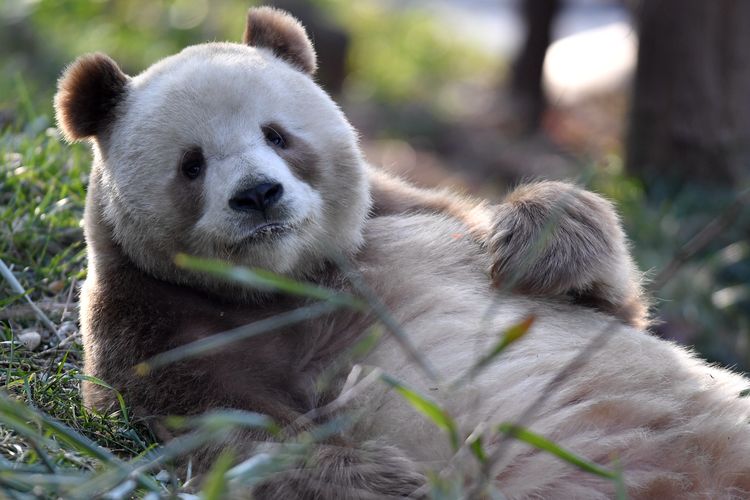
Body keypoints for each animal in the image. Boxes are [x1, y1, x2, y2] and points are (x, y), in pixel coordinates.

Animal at [54, 6, 750, 499]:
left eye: (276, 135)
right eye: (192, 164)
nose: (258, 195)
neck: (288, 281)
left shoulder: (412, 217)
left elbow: (609, 304)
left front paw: (538, 245)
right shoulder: (152, 326)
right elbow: (227, 431)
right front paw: (387, 479)